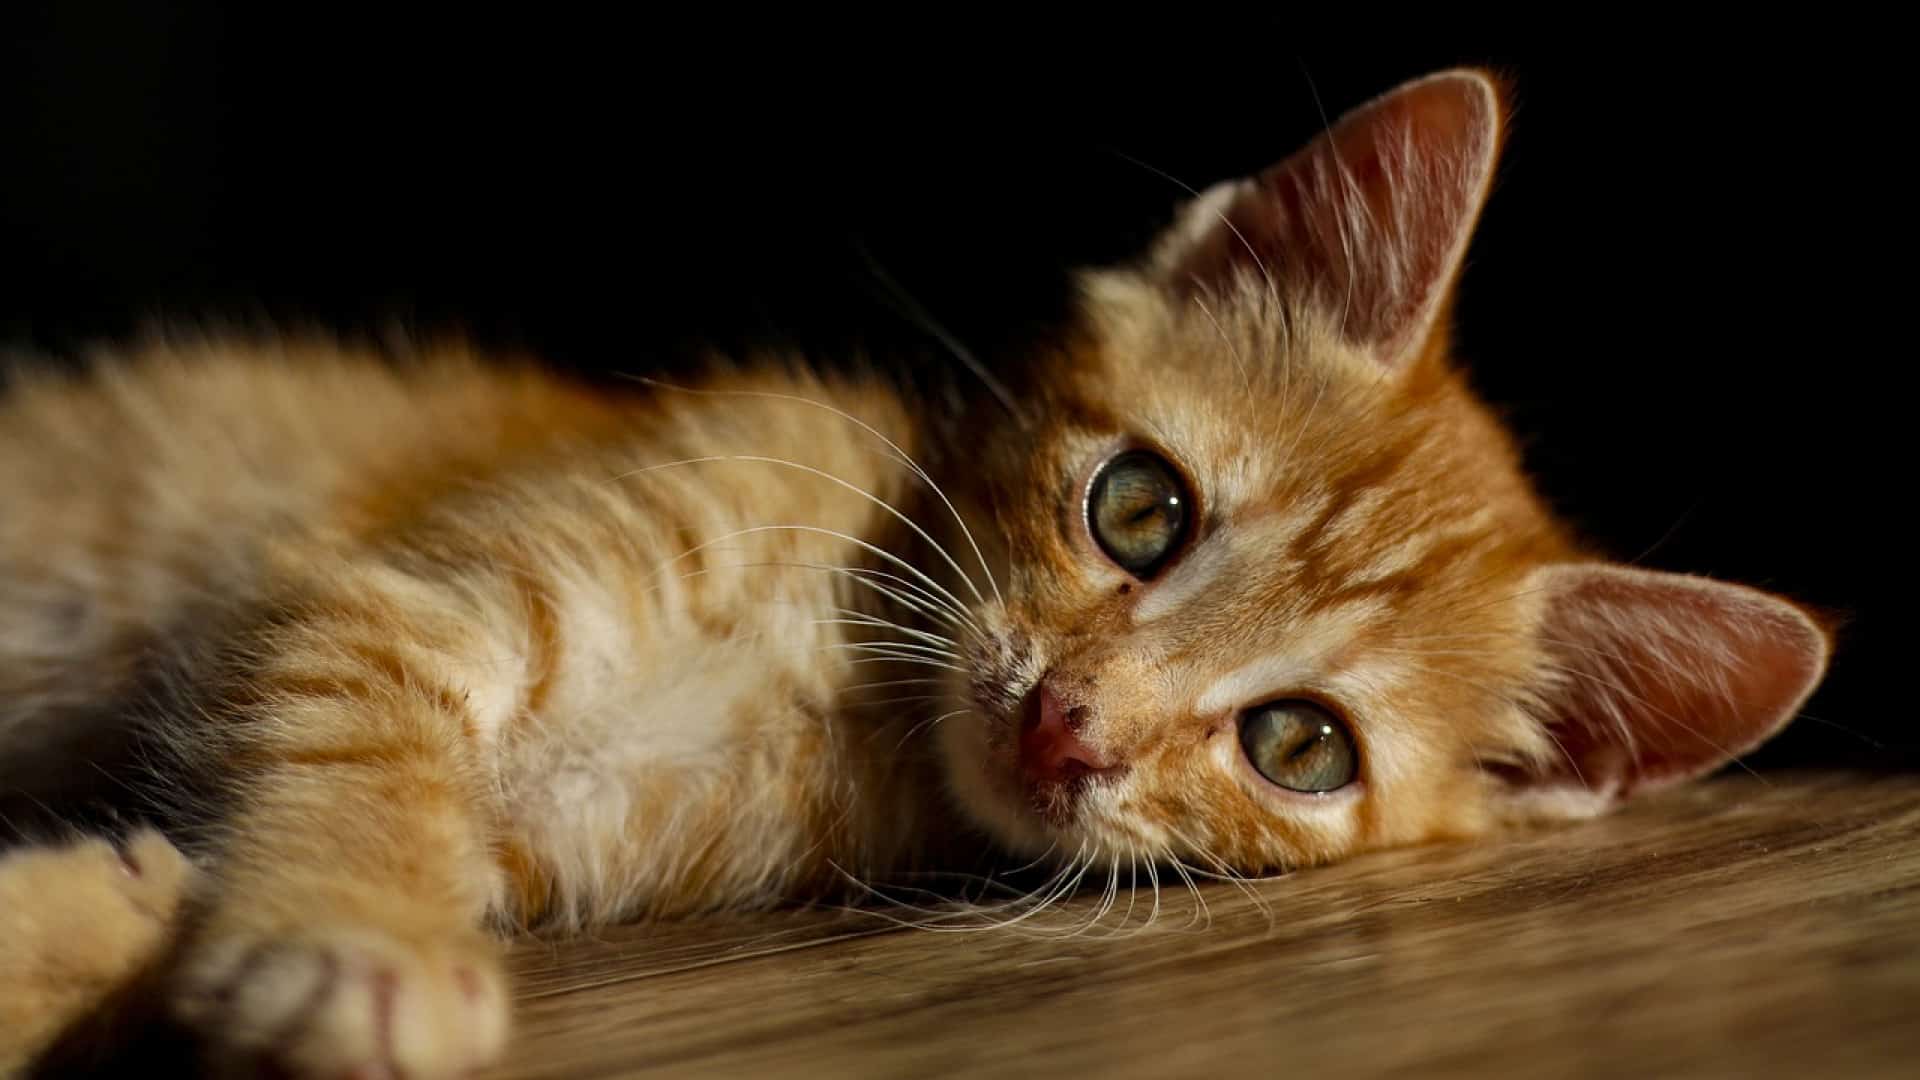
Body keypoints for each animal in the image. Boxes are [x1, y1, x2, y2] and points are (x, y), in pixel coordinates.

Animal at [0, 71, 1827, 1068]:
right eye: (1141, 510)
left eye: (1297, 745)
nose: (1073, 725)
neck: (845, 683)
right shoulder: (382, 597)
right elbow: (361, 770)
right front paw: (361, 945)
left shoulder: (534, 828)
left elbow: (156, 885)